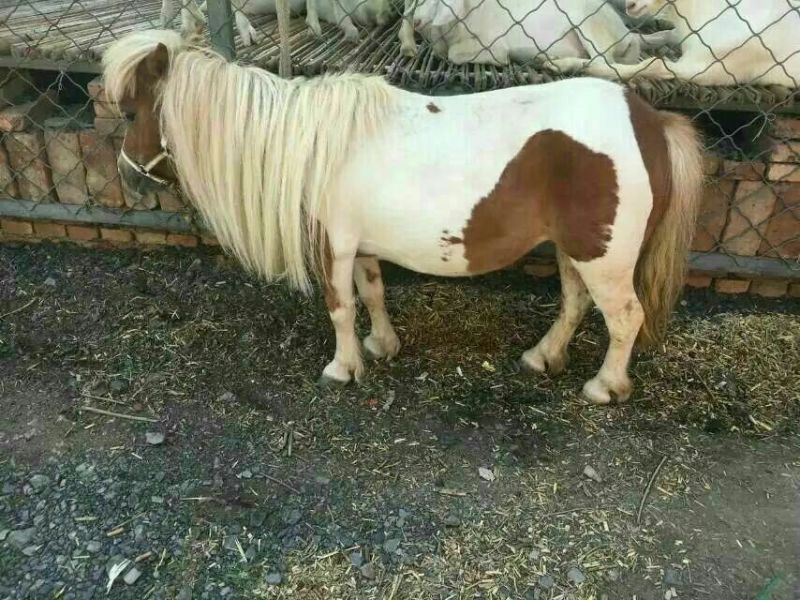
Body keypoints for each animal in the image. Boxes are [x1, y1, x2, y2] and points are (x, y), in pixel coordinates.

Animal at [102, 27, 703, 404]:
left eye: (130, 112)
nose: (129, 178)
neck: (313, 145)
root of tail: (650, 121)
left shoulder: (333, 245)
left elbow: (340, 308)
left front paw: (343, 367)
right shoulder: (361, 246)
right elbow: (371, 293)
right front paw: (381, 346)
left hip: (603, 259)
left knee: (625, 319)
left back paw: (606, 387)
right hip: (572, 250)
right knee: (575, 304)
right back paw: (542, 356)